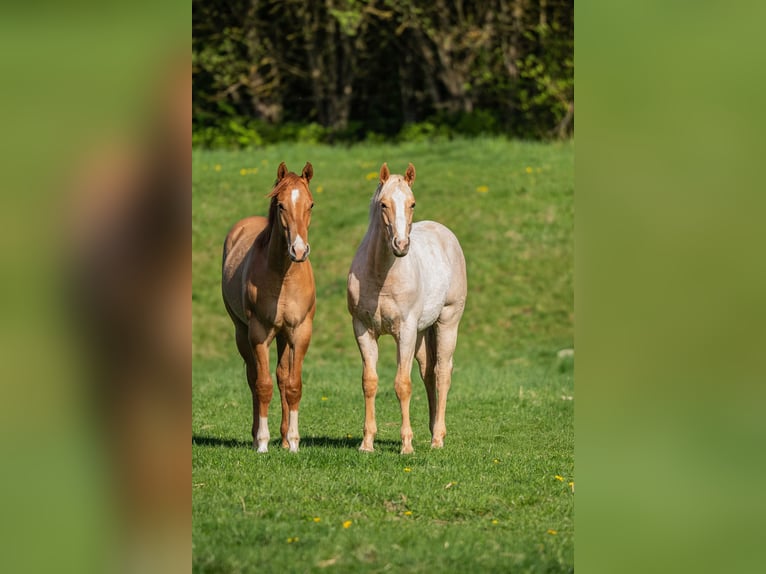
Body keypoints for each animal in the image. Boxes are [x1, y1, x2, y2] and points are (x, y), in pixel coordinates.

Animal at [222, 161, 316, 453]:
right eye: (280, 205)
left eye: (311, 204)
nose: (299, 250)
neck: (283, 274)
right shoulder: (259, 333)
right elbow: (262, 386)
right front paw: (262, 443)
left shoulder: (300, 332)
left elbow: (293, 385)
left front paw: (294, 443)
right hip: (242, 333)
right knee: (254, 379)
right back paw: (257, 437)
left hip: (284, 336)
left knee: (282, 377)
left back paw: (284, 439)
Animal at [347, 162, 467, 454]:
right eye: (383, 204)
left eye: (412, 203)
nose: (400, 245)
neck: (381, 275)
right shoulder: (363, 329)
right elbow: (369, 382)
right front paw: (367, 444)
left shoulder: (406, 331)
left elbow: (402, 384)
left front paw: (406, 445)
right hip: (423, 332)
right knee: (428, 374)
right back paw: (433, 430)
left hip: (447, 321)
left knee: (443, 372)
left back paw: (437, 439)